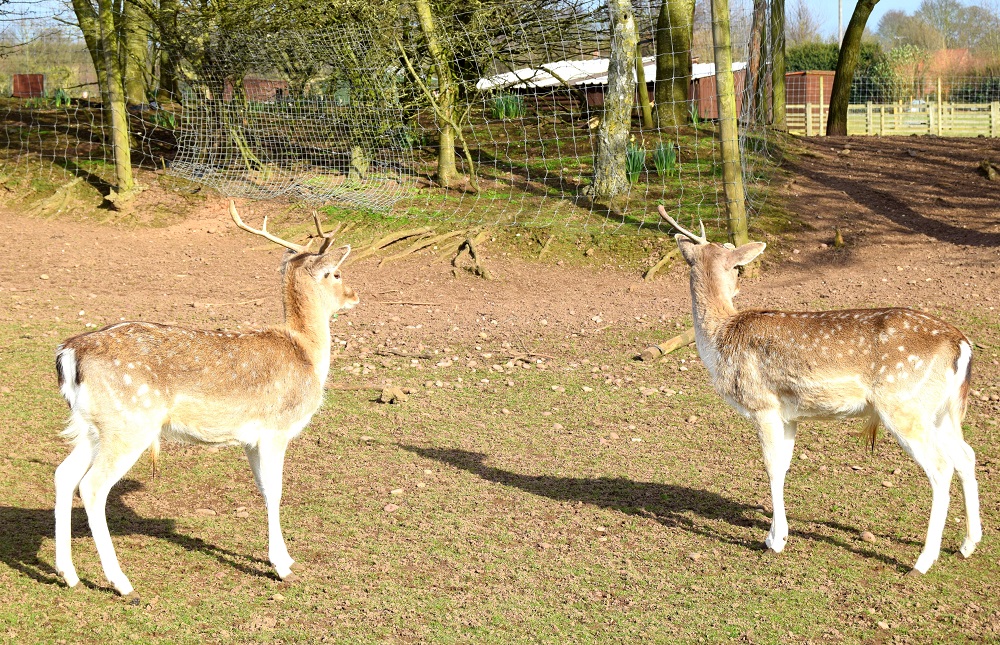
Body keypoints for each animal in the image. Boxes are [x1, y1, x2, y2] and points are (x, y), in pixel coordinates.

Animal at [54, 200, 359, 602]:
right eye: (336, 274)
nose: (355, 295)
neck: (307, 355)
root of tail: (69, 353)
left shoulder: (249, 439)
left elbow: (263, 490)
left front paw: (283, 557)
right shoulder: (276, 429)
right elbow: (277, 491)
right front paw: (282, 566)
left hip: (93, 426)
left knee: (63, 474)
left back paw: (68, 574)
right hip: (130, 423)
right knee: (91, 487)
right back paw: (122, 583)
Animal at [658, 205, 980, 575]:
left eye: (737, 266)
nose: (739, 283)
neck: (719, 339)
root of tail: (962, 345)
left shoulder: (763, 405)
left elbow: (770, 466)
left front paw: (774, 542)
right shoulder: (790, 414)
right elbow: (784, 466)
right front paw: (777, 534)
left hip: (904, 405)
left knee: (941, 467)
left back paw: (922, 562)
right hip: (941, 411)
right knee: (966, 455)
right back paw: (968, 545)